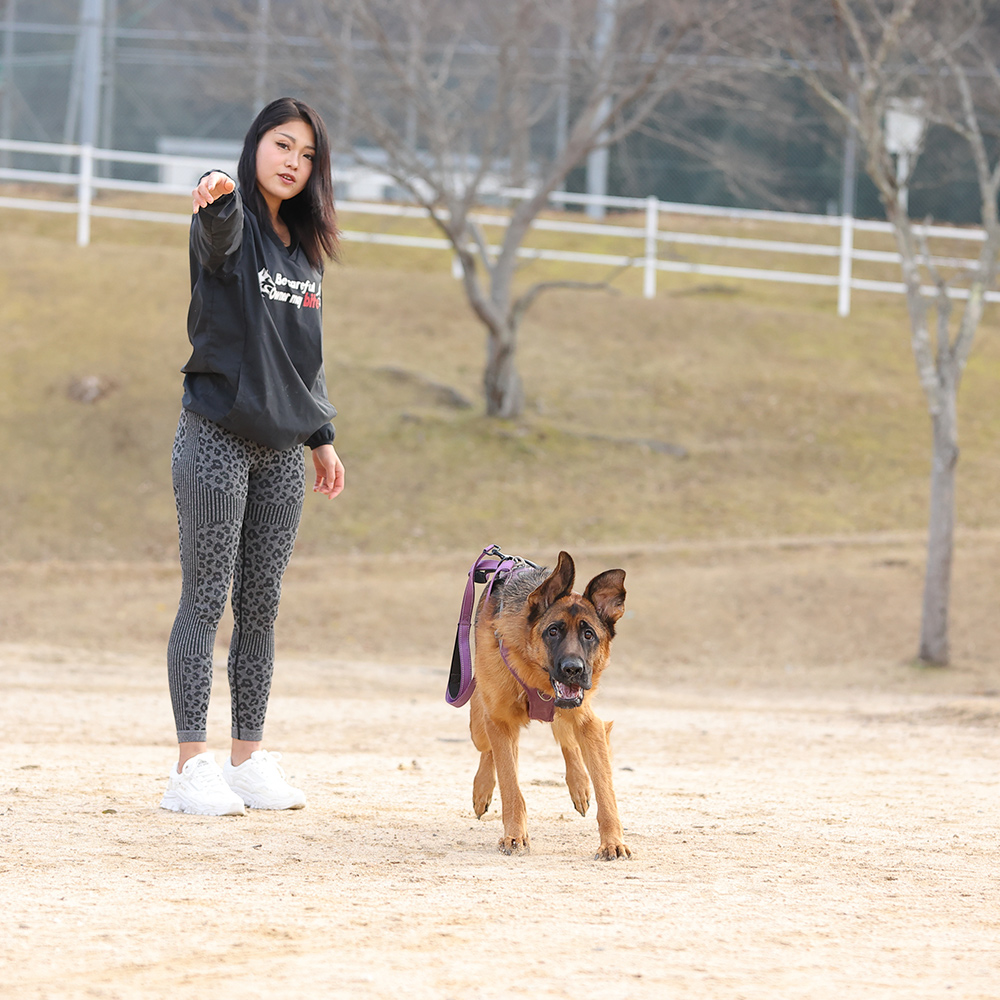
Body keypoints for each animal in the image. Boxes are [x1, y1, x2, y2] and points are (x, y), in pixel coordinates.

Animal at [470, 548, 628, 860]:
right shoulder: (501, 722)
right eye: (553, 631)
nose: (573, 669)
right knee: (488, 748)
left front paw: (612, 841)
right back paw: (482, 789)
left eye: (589, 635)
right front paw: (515, 836)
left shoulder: (588, 722)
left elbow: (605, 789)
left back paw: (579, 784)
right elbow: (510, 784)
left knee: (567, 739)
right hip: (480, 724)